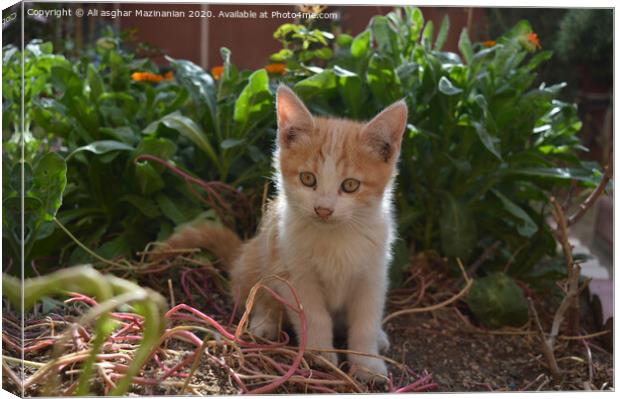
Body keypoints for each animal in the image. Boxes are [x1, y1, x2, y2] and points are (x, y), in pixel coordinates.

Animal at [162, 85, 410, 382]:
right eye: (308, 179)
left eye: (350, 185)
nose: (323, 209)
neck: (335, 238)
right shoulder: (294, 273)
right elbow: (314, 316)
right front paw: (321, 356)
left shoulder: (372, 274)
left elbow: (366, 321)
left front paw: (367, 364)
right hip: (261, 253)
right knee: (253, 294)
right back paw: (265, 322)